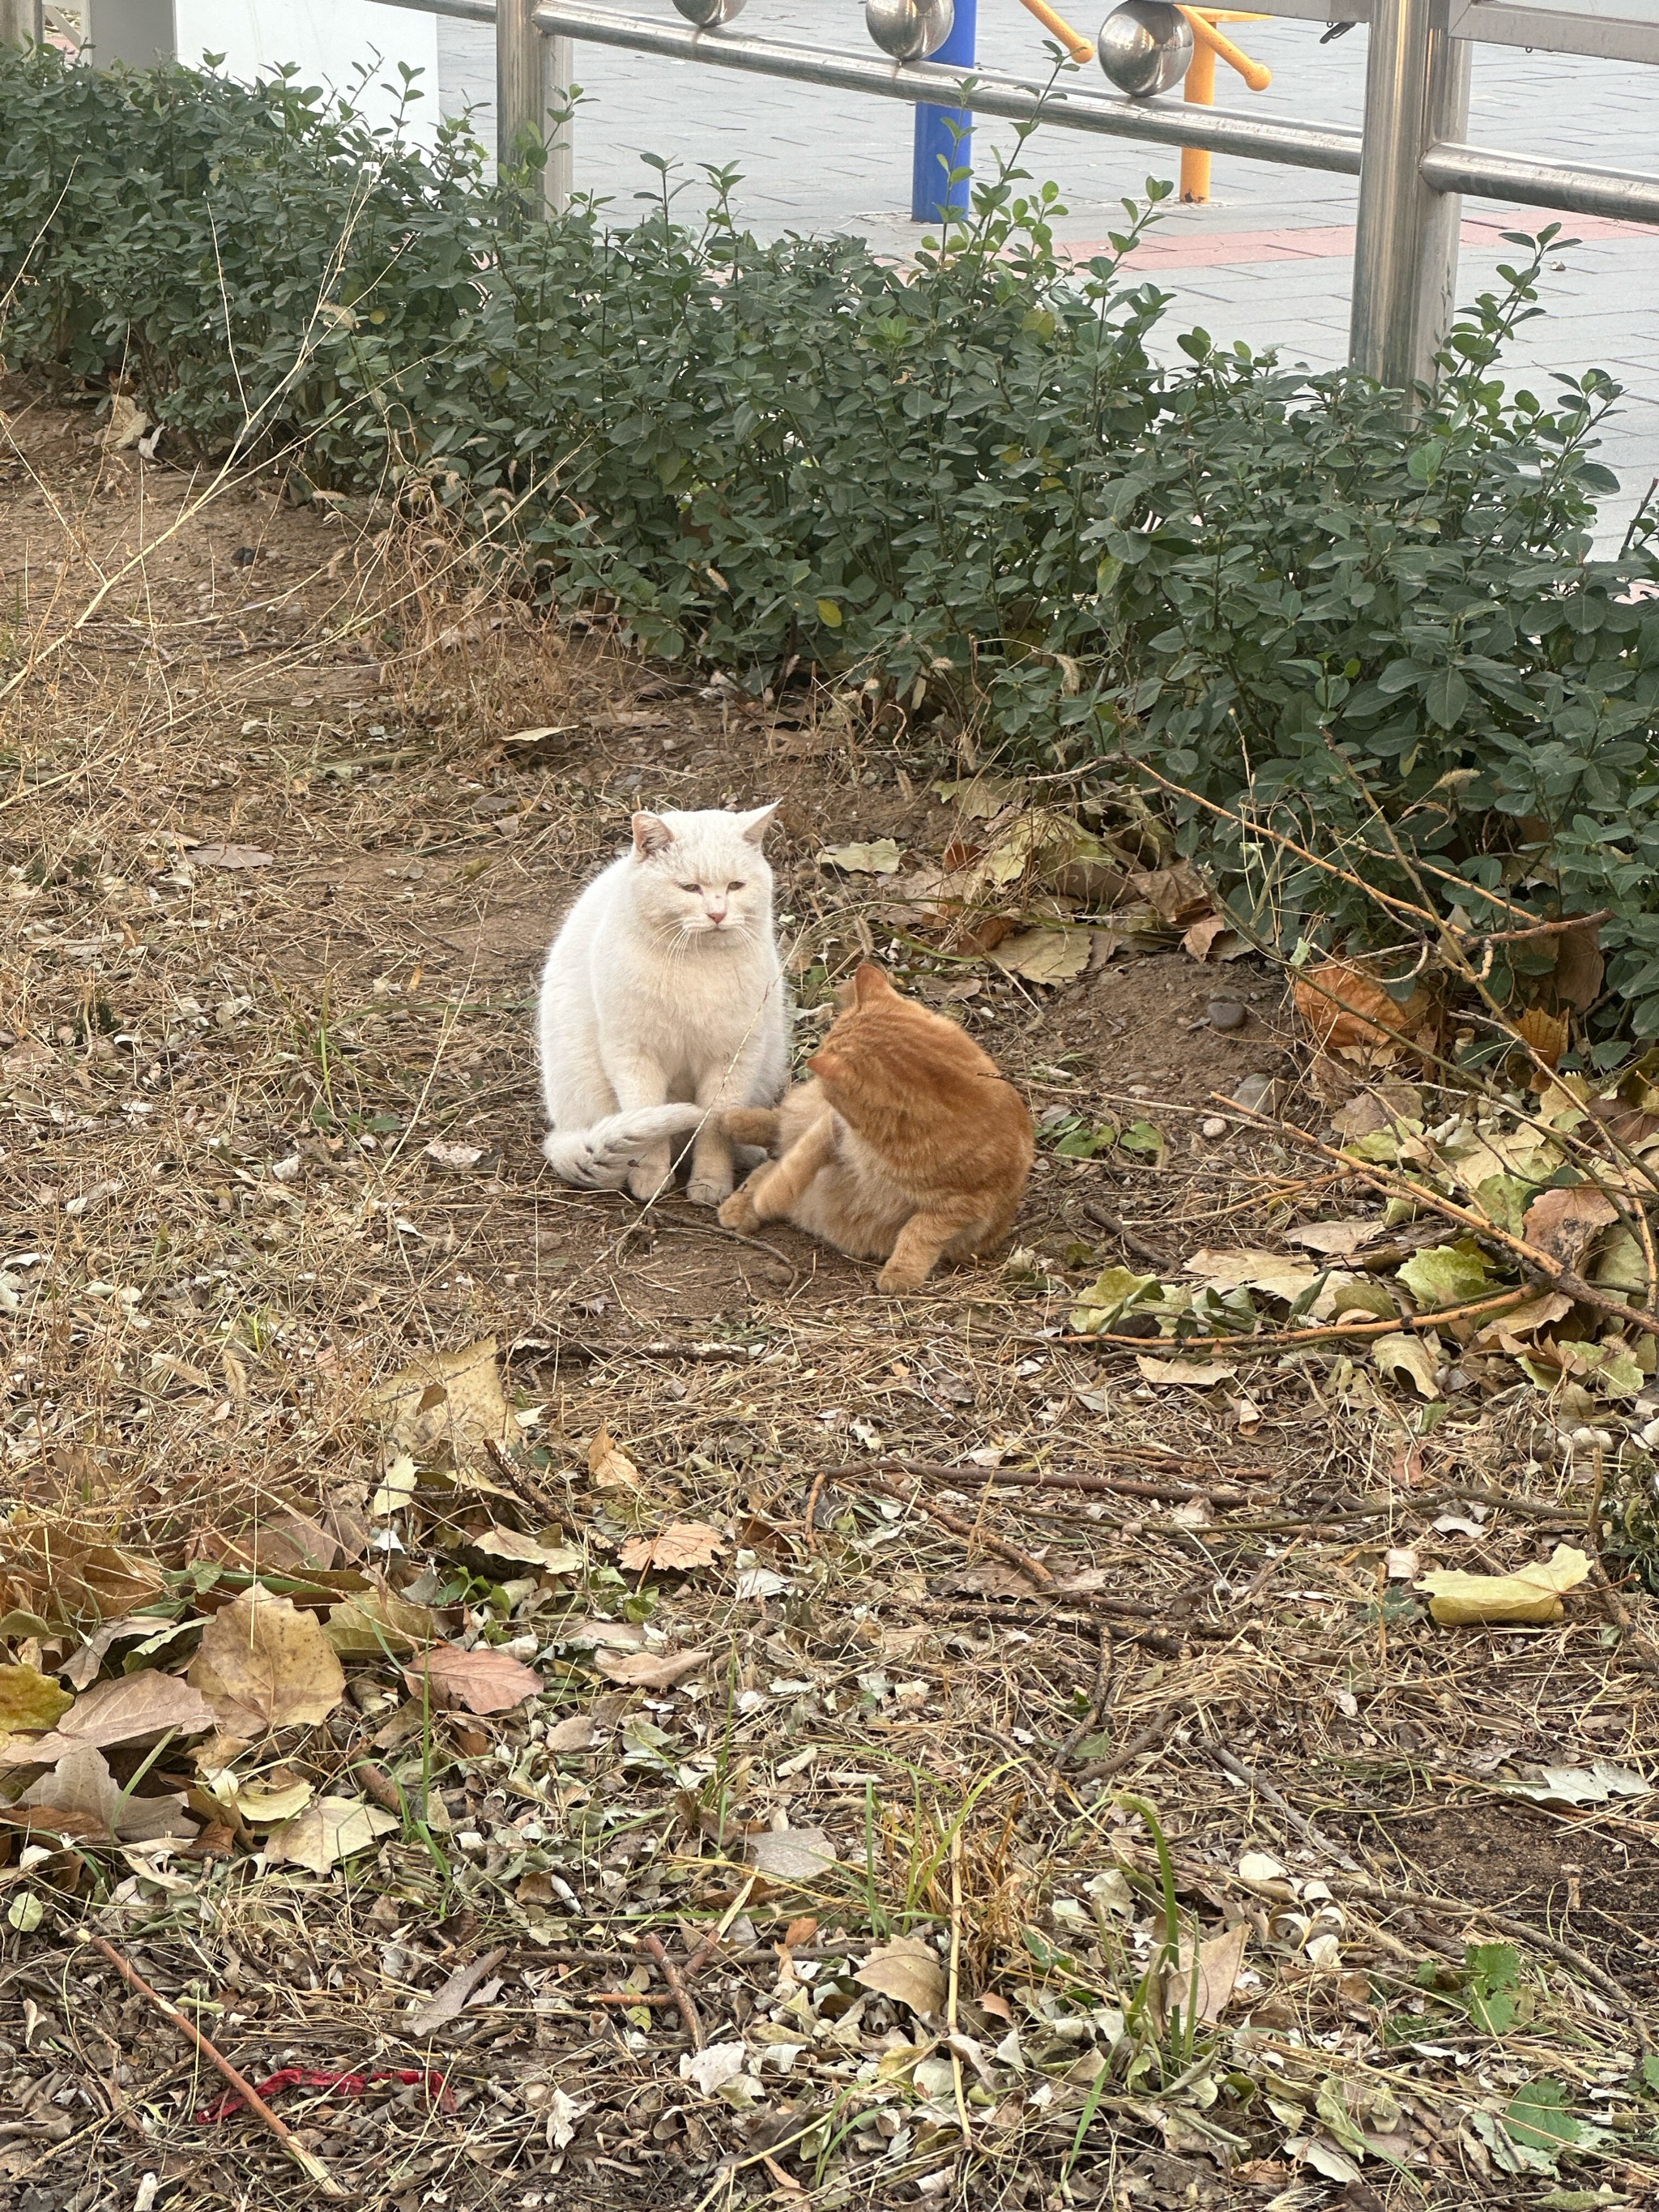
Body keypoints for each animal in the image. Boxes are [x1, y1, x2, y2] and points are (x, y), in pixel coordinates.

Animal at [535, 805, 787, 1203]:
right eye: (689, 888)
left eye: (735, 886)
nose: (717, 915)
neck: (697, 963)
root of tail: (562, 1134)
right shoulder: (633, 1055)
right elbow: (649, 1119)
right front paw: (650, 1179)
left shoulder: (735, 1058)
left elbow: (714, 1127)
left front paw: (710, 1184)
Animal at [716, 959, 1034, 1292]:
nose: (821, 1086)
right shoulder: (834, 1126)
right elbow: (798, 1160)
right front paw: (770, 1196)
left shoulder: (961, 1205)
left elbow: (920, 1232)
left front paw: (901, 1272)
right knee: (780, 1138)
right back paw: (735, 1131)